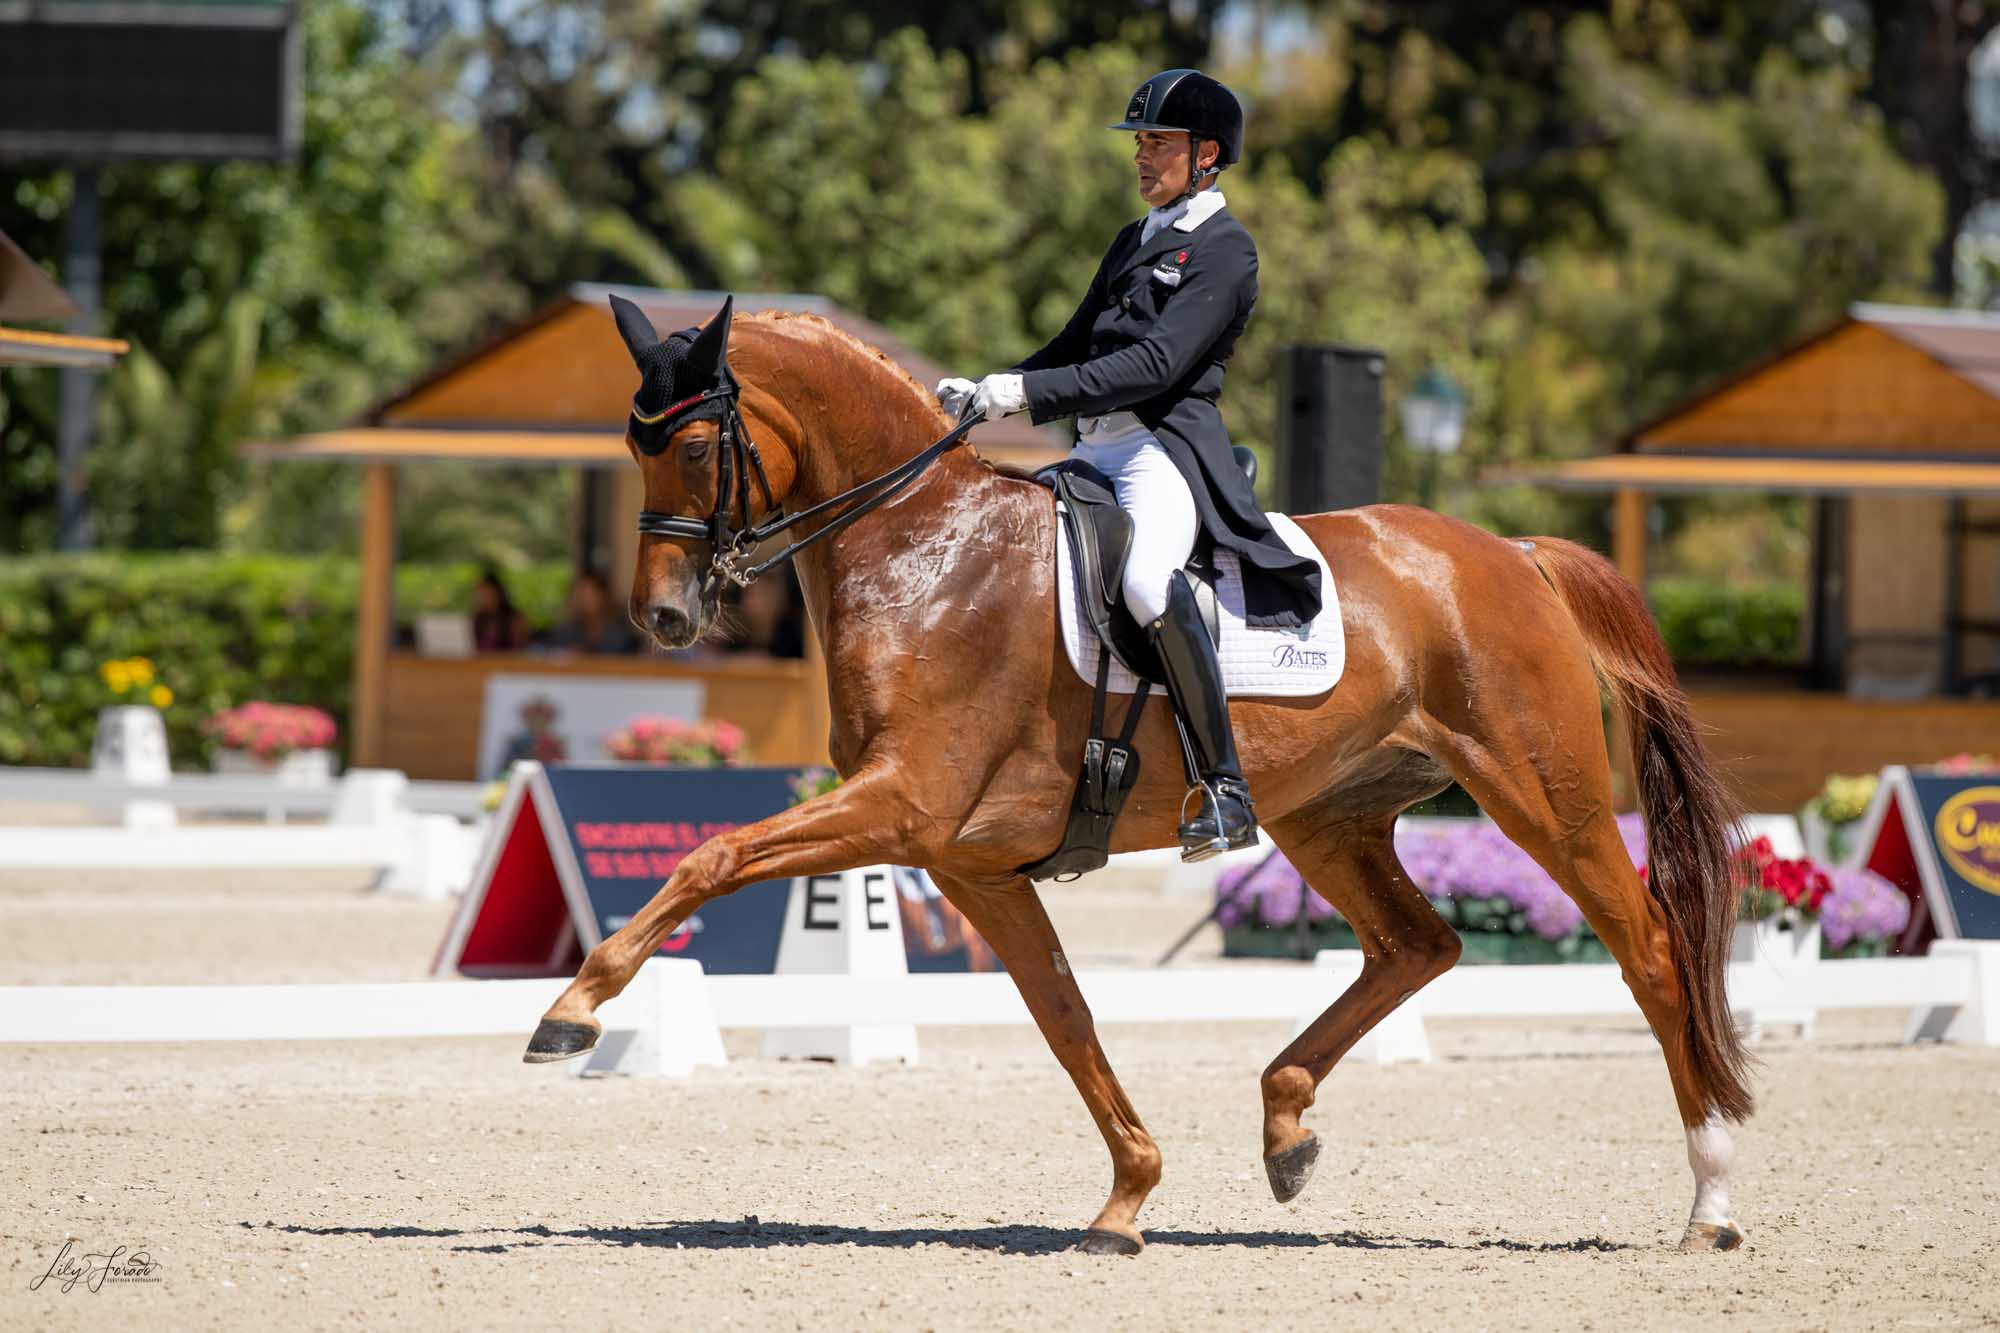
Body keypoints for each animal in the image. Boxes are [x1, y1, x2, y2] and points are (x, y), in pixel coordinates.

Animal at [528, 296, 1752, 1248]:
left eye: (692, 448)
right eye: (630, 448)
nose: (663, 618)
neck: (924, 549)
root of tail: (1515, 555)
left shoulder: (903, 809)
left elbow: (714, 854)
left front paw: (575, 1010)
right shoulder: (970, 863)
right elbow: (1064, 1017)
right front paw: (1127, 1199)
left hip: (1545, 798)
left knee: (1649, 951)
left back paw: (1711, 1200)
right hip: (1330, 818)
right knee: (1419, 944)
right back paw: (1286, 1126)